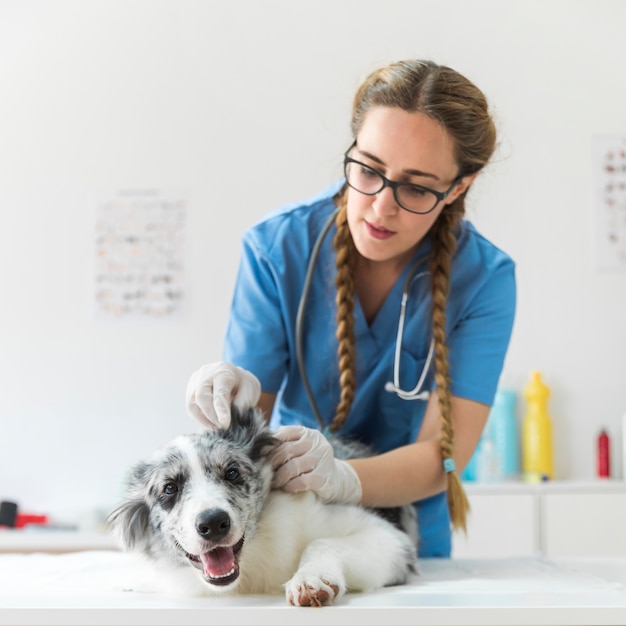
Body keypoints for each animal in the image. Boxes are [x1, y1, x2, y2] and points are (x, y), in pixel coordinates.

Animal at [109, 404, 416, 604]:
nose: (213, 523)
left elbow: (322, 543)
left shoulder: (390, 539)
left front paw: (312, 579)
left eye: (232, 473)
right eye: (170, 489)